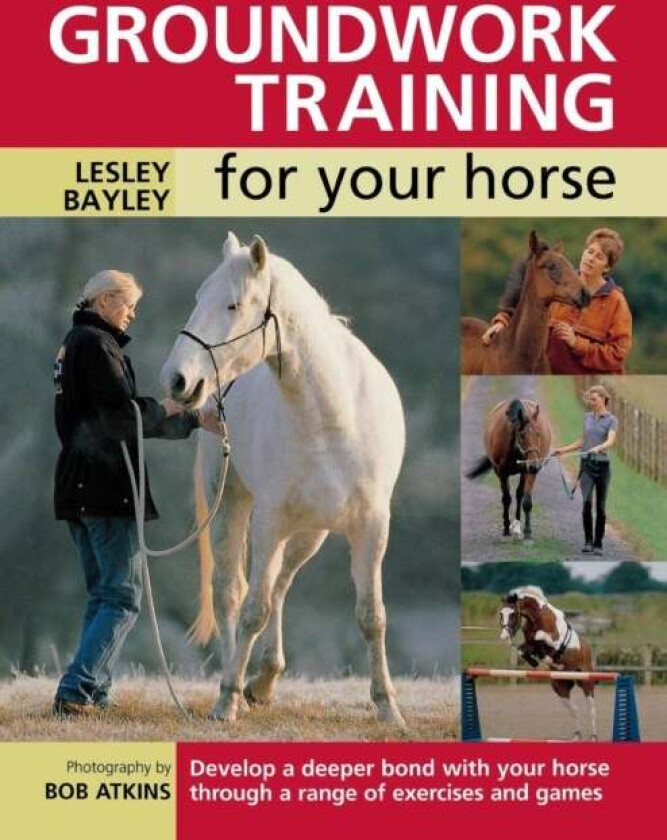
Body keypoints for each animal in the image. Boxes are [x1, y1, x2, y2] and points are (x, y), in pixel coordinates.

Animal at [161, 232, 406, 727]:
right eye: (198, 298)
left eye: (234, 305)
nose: (177, 379)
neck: (334, 415)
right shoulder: (269, 521)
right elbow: (252, 609)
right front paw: (227, 698)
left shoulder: (372, 526)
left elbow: (371, 615)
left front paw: (388, 707)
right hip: (233, 505)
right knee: (232, 592)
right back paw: (238, 685)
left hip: (309, 532)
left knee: (278, 585)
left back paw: (265, 679)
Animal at [466, 398, 551, 543]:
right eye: (522, 435)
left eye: (539, 434)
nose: (535, 466)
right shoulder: (501, 472)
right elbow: (506, 499)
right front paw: (506, 529)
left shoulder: (528, 472)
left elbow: (526, 501)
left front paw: (527, 533)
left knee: (519, 495)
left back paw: (517, 526)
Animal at [499, 586, 597, 740]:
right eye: (501, 614)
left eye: (513, 614)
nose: (504, 636)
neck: (538, 617)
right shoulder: (529, 644)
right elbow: (523, 649)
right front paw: (535, 662)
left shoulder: (554, 640)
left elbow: (540, 637)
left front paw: (544, 658)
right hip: (560, 688)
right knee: (574, 710)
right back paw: (577, 735)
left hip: (587, 682)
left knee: (591, 709)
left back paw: (593, 736)